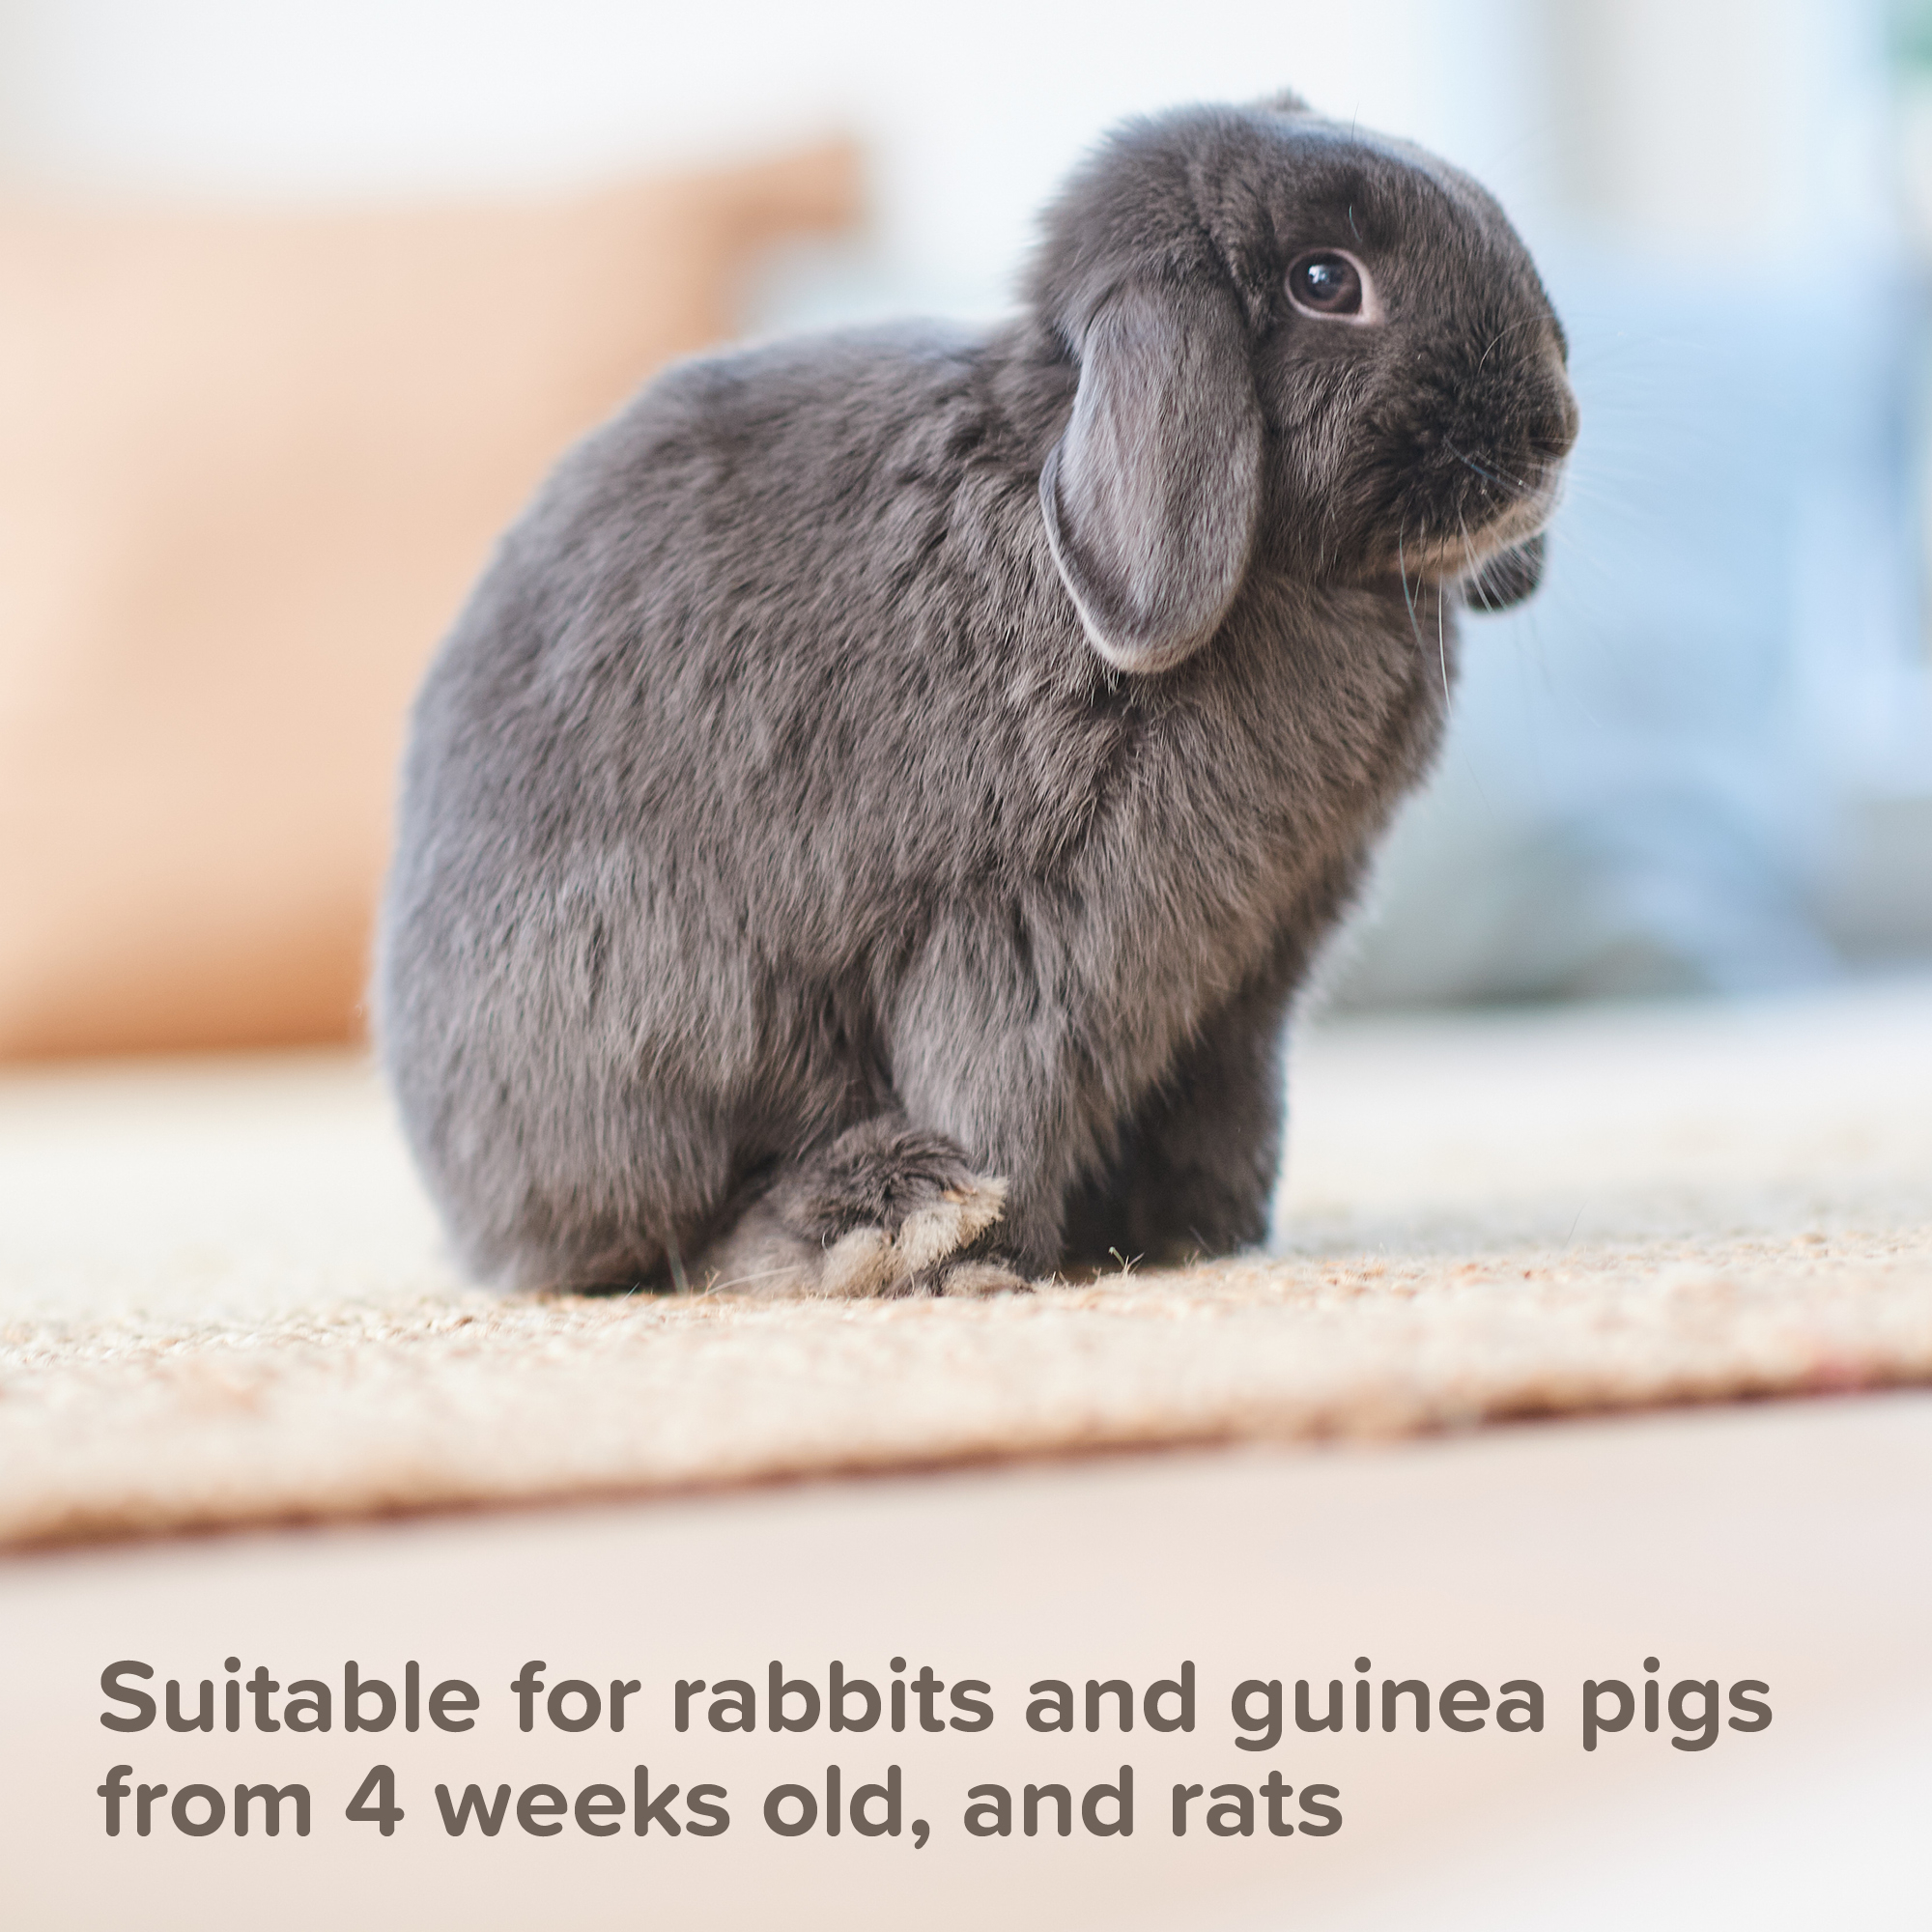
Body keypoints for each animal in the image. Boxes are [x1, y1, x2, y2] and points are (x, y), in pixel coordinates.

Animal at [375, 91, 1577, 1298]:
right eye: (1326, 281)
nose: (1554, 429)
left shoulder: (1250, 984)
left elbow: (1222, 1107)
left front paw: (1199, 1235)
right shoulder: (1019, 927)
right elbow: (1000, 1083)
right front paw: (994, 1266)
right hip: (667, 1009)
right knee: (683, 1230)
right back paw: (894, 1215)